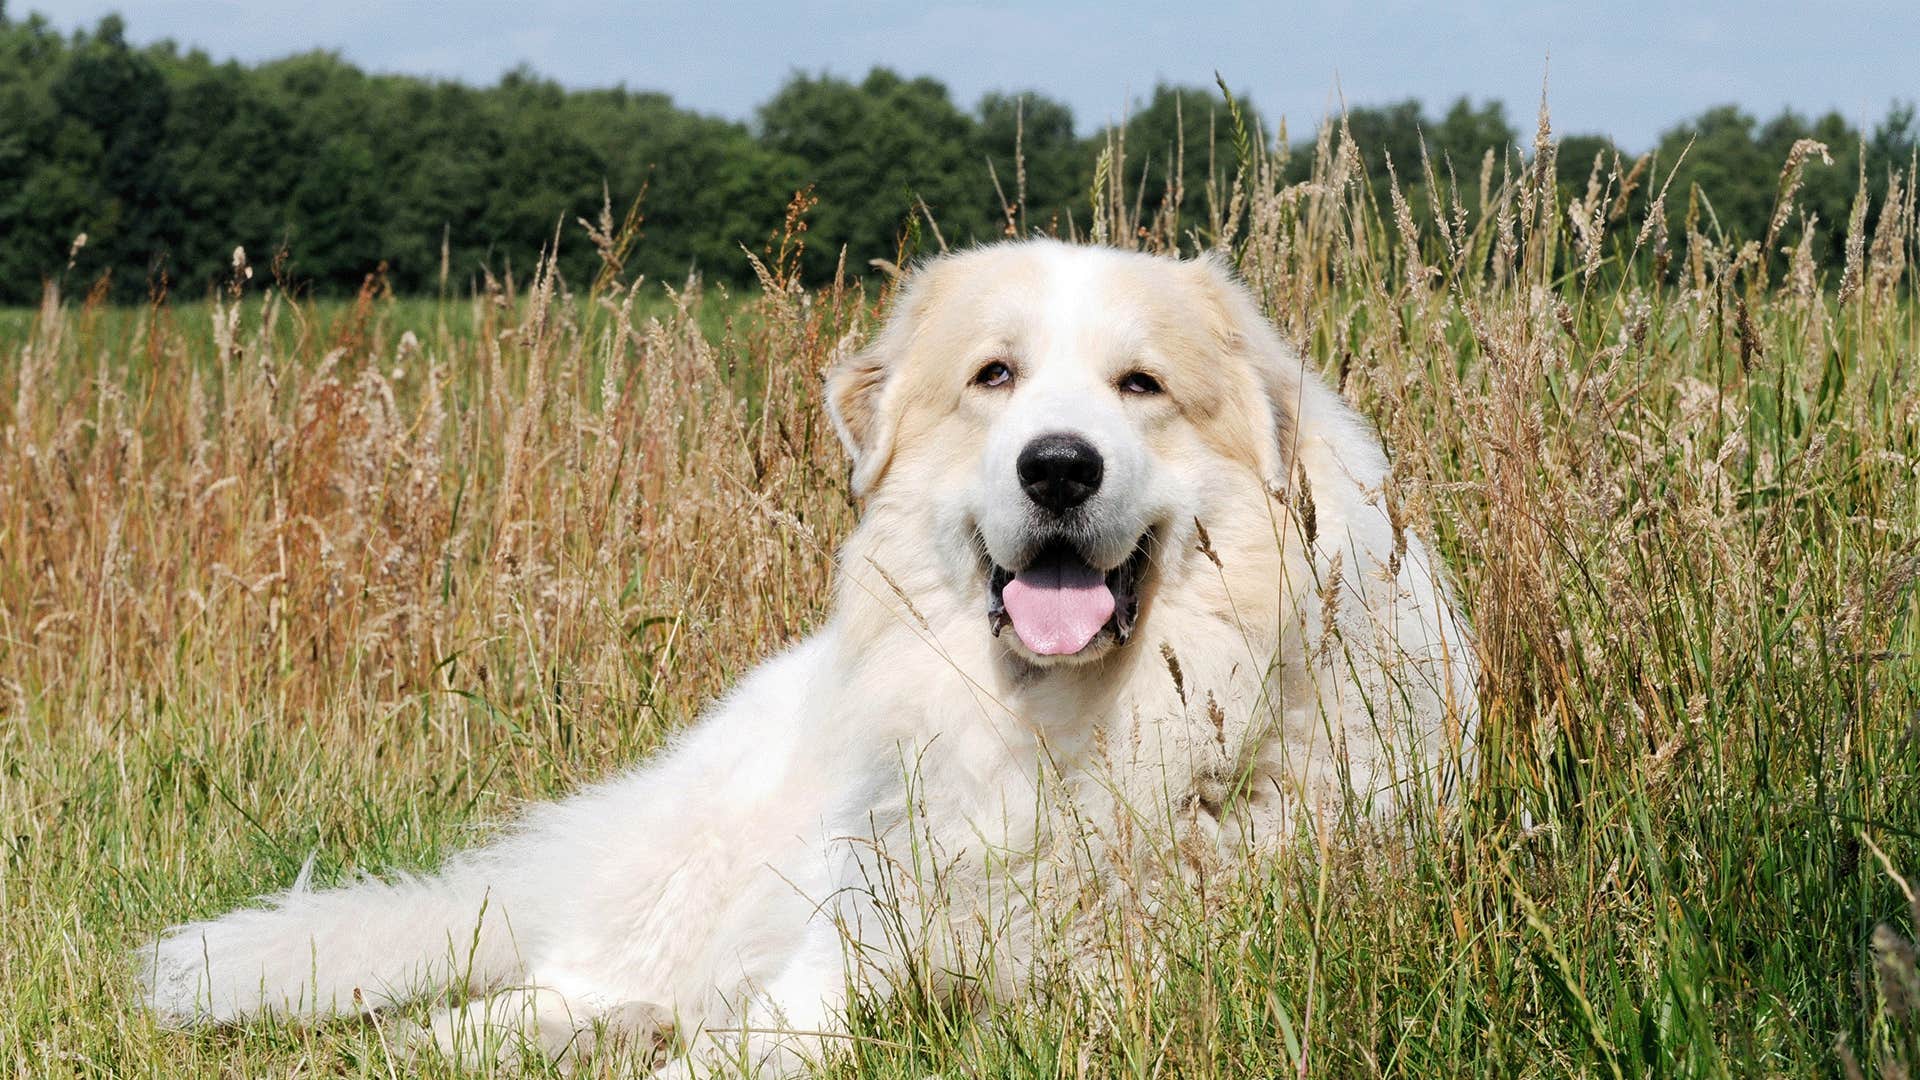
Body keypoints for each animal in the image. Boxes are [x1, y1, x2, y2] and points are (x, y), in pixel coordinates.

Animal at [139, 239, 1482, 1068]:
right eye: (994, 378)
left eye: (1141, 386)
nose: (1057, 466)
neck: (1060, 735)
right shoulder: (845, 948)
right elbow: (766, 1041)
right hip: (715, 862)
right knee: (572, 977)